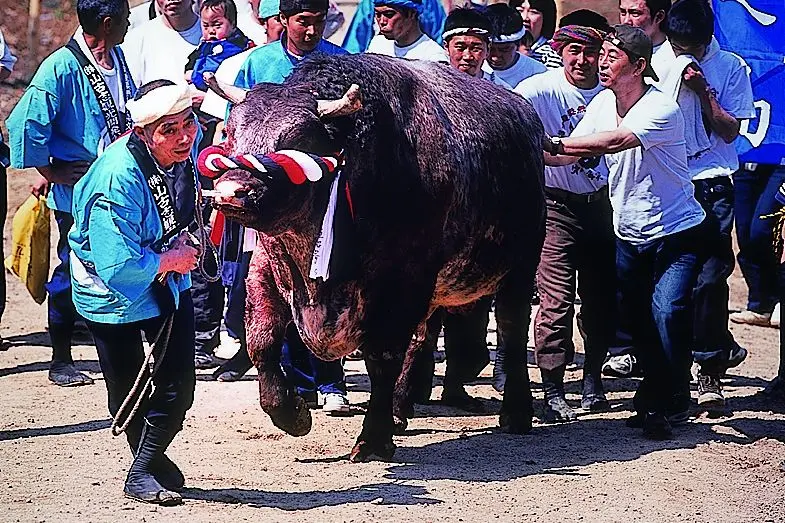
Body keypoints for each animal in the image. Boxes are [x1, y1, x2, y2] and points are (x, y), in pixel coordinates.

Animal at [207, 53, 545, 462]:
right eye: (231, 134)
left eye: (297, 140)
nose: (231, 192)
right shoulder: (267, 269)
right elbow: (262, 341)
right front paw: (292, 414)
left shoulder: (401, 285)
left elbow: (383, 357)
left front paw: (372, 438)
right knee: (424, 338)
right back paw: (401, 409)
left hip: (520, 269)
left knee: (512, 331)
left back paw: (517, 412)